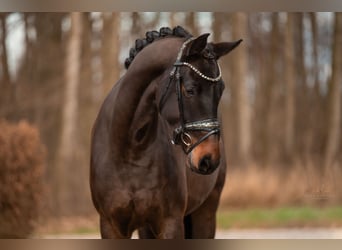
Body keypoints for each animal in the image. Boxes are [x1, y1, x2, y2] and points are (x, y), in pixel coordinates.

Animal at [89, 25, 242, 238]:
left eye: (220, 90)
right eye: (190, 90)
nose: (208, 158)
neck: (130, 150)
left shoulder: (170, 222)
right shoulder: (110, 225)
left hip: (206, 212)